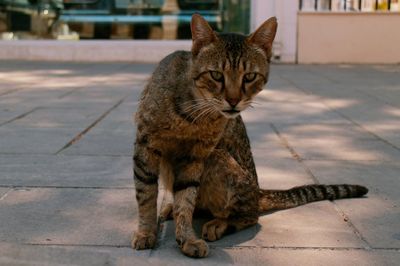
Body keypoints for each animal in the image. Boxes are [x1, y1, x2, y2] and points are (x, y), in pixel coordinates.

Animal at [132, 13, 368, 256]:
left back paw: (219, 223)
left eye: (250, 77)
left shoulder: (196, 156)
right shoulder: (145, 147)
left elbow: (186, 200)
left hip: (218, 158)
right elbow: (147, 196)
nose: (233, 100)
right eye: (216, 75)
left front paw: (187, 237)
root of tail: (259, 190)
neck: (193, 114)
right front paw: (146, 232)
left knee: (249, 215)